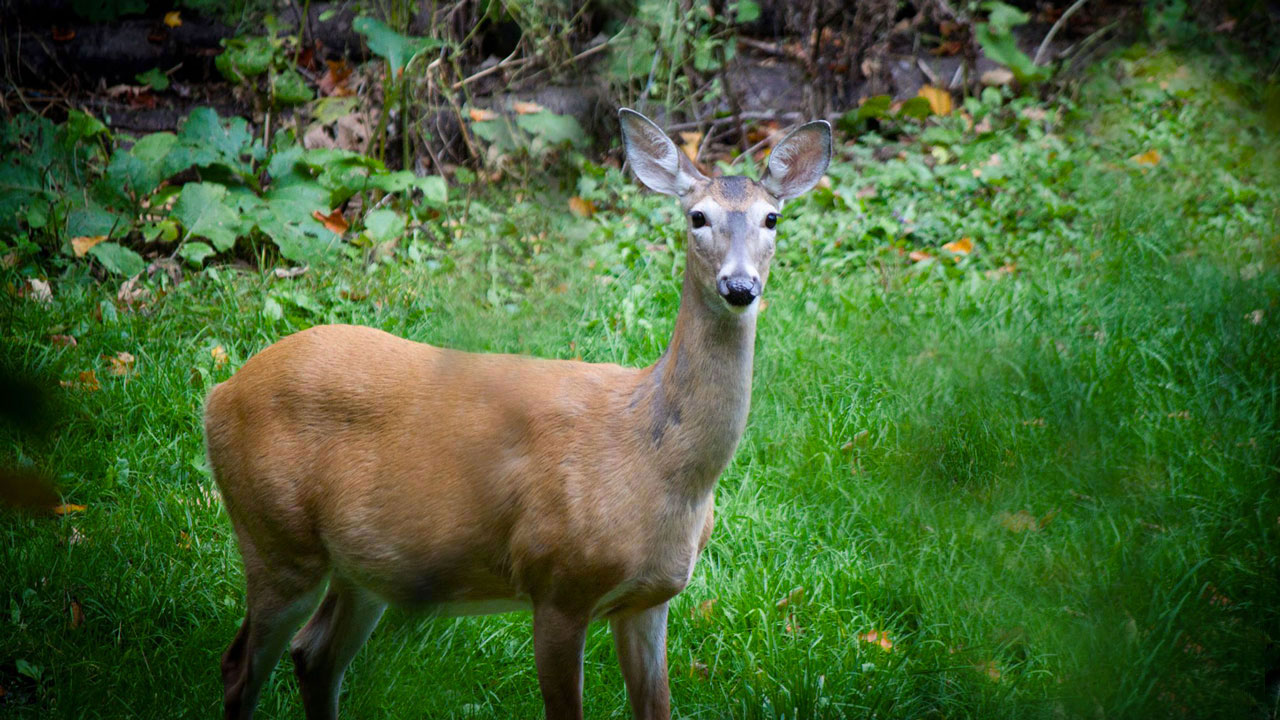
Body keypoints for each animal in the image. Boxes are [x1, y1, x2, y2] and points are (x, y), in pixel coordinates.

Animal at [203, 107, 831, 720]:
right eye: (698, 216)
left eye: (772, 218)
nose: (740, 286)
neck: (657, 468)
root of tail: (220, 394)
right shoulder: (556, 582)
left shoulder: (650, 600)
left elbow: (656, 709)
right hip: (277, 537)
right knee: (237, 667)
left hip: (364, 568)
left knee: (313, 654)